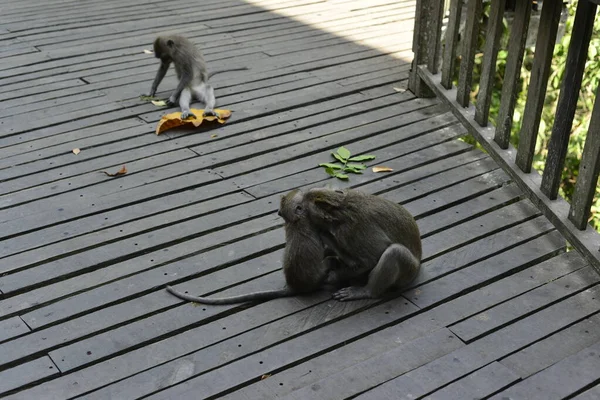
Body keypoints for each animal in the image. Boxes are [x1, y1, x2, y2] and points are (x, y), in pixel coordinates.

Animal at [164, 189, 342, 304]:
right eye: (301, 197)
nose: (304, 192)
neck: (294, 221)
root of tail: (293, 286)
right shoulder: (313, 225)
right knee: (328, 262)